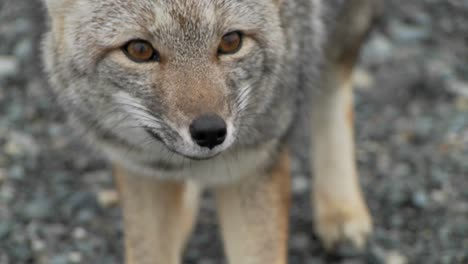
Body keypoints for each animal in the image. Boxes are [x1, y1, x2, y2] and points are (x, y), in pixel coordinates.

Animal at [42, 0, 380, 262]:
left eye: (231, 42)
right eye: (139, 50)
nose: (210, 132)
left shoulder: (253, 166)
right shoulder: (141, 168)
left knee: (333, 86)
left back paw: (340, 210)